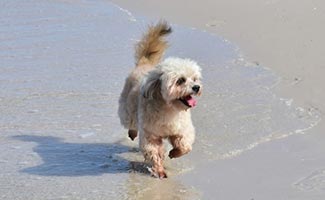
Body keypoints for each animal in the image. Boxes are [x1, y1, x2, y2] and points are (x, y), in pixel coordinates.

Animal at [117, 20, 201, 178]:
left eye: (194, 79)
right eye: (181, 80)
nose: (197, 87)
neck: (169, 108)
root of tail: (144, 63)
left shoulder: (182, 130)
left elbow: (185, 146)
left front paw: (174, 152)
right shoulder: (151, 135)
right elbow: (154, 152)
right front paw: (159, 171)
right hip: (128, 109)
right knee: (131, 122)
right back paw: (132, 132)